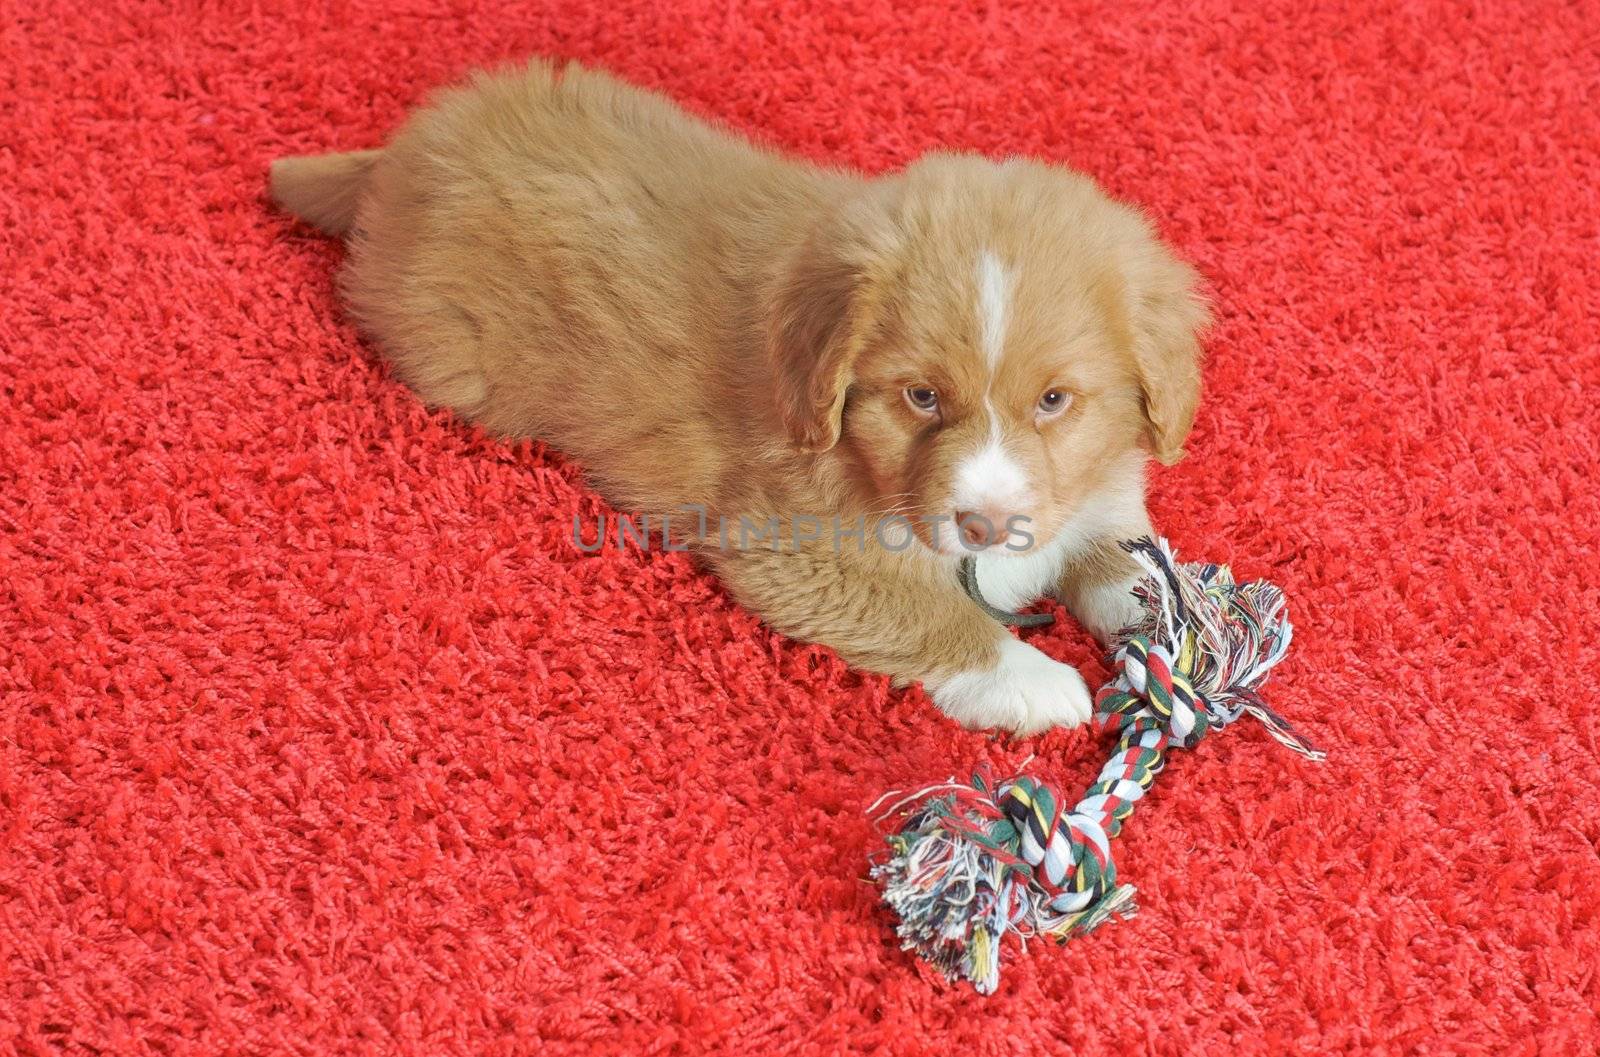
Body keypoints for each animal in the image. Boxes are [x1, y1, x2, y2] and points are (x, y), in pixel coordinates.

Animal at [272, 57, 1203, 732]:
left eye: (1055, 401)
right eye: (920, 397)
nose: (983, 524)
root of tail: (410, 149)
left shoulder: (1089, 489)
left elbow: (1119, 551)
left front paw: (1178, 615)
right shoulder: (791, 550)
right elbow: (929, 614)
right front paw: (1036, 681)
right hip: (450, 358)